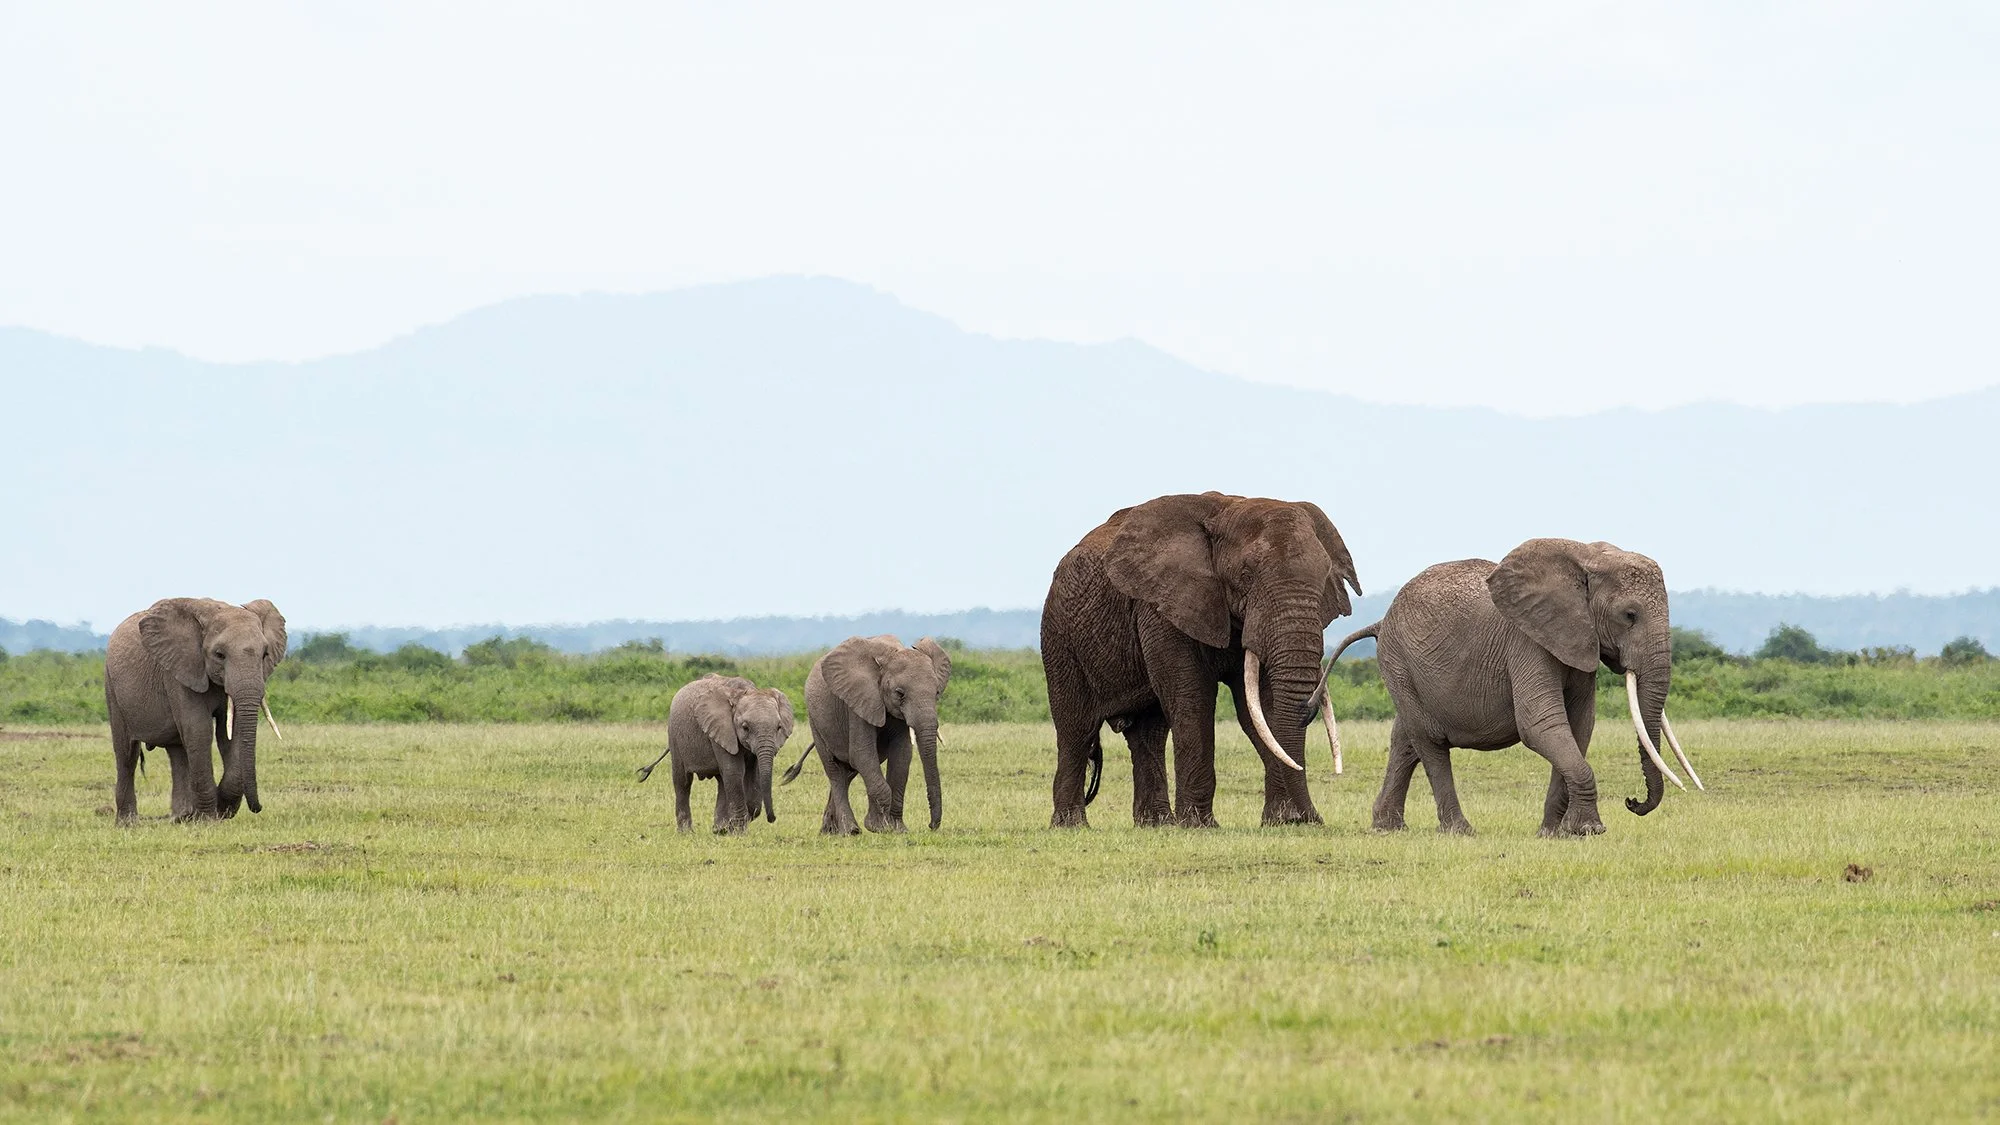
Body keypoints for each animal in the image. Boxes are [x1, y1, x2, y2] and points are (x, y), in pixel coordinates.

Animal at [103, 597, 288, 823]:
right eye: (219, 655)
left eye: (265, 654)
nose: (258, 808)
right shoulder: (179, 671)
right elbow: (199, 731)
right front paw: (208, 818)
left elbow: (230, 734)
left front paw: (220, 809)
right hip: (111, 686)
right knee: (127, 753)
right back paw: (128, 823)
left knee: (177, 751)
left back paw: (181, 817)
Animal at [636, 674, 794, 834]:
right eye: (745, 727)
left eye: (779, 727)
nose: (772, 819)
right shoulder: (721, 730)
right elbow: (734, 771)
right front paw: (739, 832)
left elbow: (751, 774)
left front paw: (733, 826)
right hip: (674, 735)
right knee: (683, 781)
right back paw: (687, 832)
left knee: (722, 780)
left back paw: (720, 830)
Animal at [780, 635, 952, 834]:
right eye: (899, 694)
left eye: (937, 692)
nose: (931, 826)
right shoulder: (858, 702)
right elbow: (862, 754)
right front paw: (879, 827)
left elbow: (901, 757)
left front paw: (898, 829)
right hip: (815, 721)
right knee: (835, 770)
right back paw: (850, 830)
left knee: (849, 772)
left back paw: (830, 831)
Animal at [1041, 492, 1362, 828]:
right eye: (1246, 576)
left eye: (1325, 577)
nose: (1313, 819)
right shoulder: (1162, 606)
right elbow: (1193, 700)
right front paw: (1199, 826)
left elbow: (1264, 706)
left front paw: (1284, 821)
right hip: (1059, 633)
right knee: (1076, 727)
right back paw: (1071, 825)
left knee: (1149, 732)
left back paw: (1157, 824)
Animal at [1320, 538, 1704, 838]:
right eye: (1629, 615)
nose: (1632, 802)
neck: (1584, 558)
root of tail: (1380, 621)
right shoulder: (1527, 641)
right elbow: (1541, 725)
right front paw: (1588, 830)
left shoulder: (1577, 639)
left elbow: (1579, 727)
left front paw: (1553, 834)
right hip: (1397, 660)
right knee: (1429, 742)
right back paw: (1460, 831)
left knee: (1405, 740)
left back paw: (1387, 827)